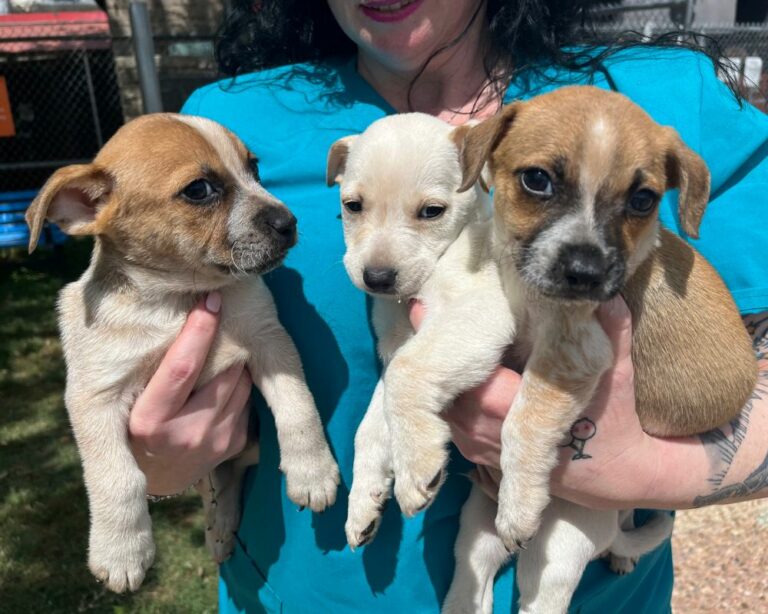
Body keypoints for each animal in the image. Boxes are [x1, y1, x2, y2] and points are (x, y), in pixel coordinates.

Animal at [27, 113, 340, 596]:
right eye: (199, 190)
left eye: (254, 168)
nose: (288, 221)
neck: (178, 300)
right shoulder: (94, 396)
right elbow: (117, 477)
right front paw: (120, 551)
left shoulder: (270, 342)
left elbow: (298, 408)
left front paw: (314, 471)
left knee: (227, 482)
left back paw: (222, 531)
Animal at [326, 113, 512, 548]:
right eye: (352, 206)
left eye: (432, 211)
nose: (377, 278)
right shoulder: (399, 345)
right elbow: (372, 424)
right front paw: (364, 500)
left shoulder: (482, 310)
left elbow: (406, 374)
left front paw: (415, 463)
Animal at [444, 84, 756, 612]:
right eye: (537, 180)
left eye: (643, 200)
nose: (585, 273)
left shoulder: (570, 357)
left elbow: (524, 419)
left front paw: (519, 503)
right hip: (476, 536)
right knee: (473, 583)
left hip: (560, 549)